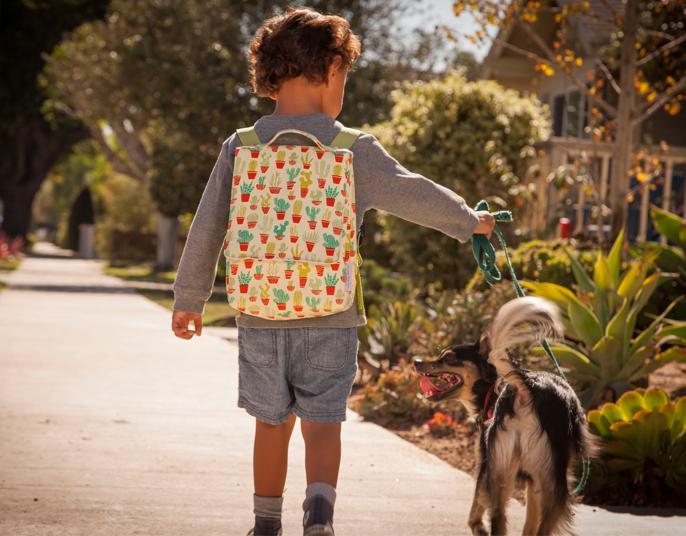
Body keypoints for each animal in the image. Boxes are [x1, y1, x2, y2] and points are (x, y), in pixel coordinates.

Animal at [414, 298, 596, 536]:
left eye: (448, 358)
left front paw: (478, 527)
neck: (492, 390)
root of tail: (526, 390)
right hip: (541, 481)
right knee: (517, 521)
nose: (416, 361)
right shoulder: (528, 477)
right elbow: (523, 521)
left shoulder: (491, 466)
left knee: (499, 517)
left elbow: (478, 507)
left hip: (510, 472)